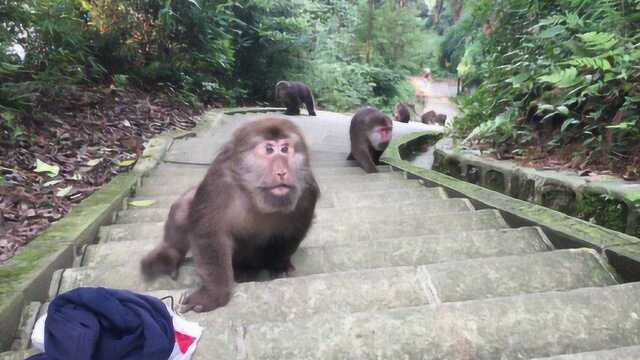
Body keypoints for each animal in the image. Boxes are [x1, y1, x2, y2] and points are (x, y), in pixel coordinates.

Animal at [141, 118, 320, 312]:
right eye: (269, 149)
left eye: (285, 149)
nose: (282, 172)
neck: (253, 195)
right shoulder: (218, 183)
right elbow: (209, 234)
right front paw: (215, 293)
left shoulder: (307, 189)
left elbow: (294, 231)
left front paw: (278, 264)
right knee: (184, 207)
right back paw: (170, 256)